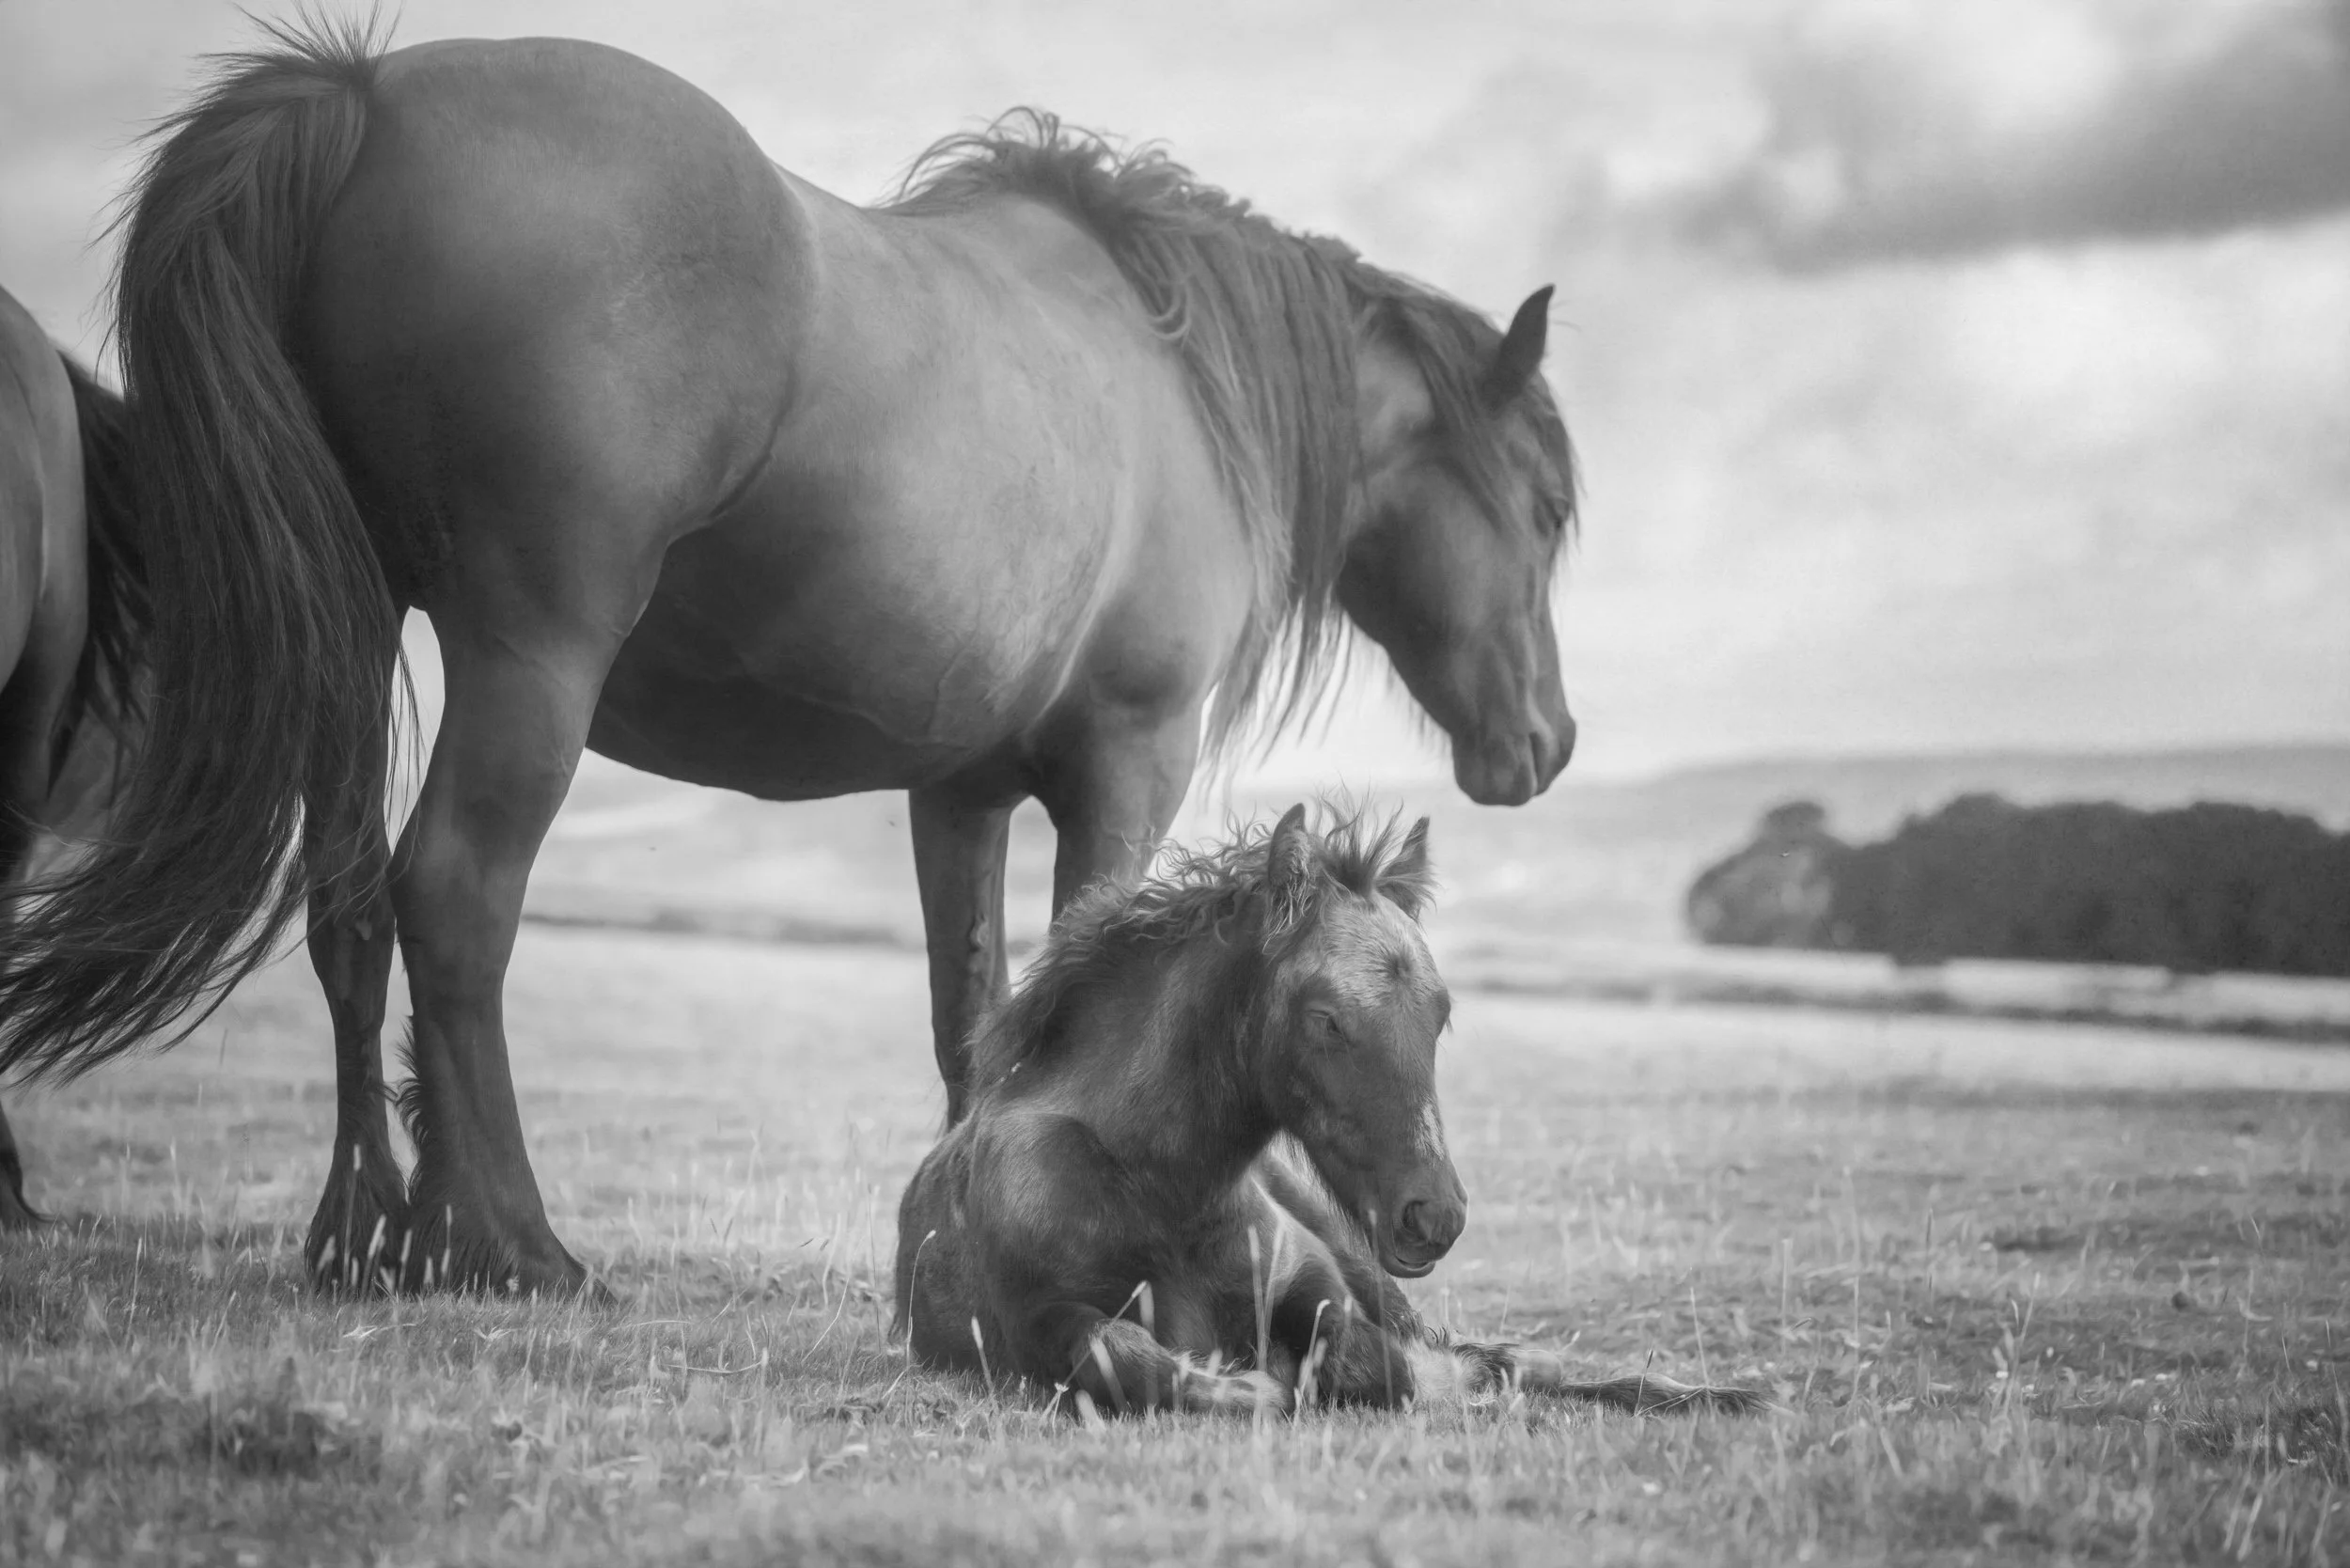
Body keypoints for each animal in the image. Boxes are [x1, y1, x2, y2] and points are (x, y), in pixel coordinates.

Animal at [0, 22, 1579, 1297]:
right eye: (1551, 510)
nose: (1547, 745)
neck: (1172, 385)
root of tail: (361, 92)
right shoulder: (1124, 774)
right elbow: (1083, 1002)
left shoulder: (962, 792)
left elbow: (980, 1022)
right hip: (531, 654)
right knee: (451, 896)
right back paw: (512, 1245)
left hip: (357, 623)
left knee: (345, 916)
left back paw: (367, 1235)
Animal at [897, 805, 1764, 1417]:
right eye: (1326, 1019)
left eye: (1440, 1014)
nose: (1432, 1216)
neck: (1158, 1185)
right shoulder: (1038, 1321)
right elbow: (1134, 1362)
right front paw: (1250, 1385)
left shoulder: (1320, 1284)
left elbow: (1382, 1366)